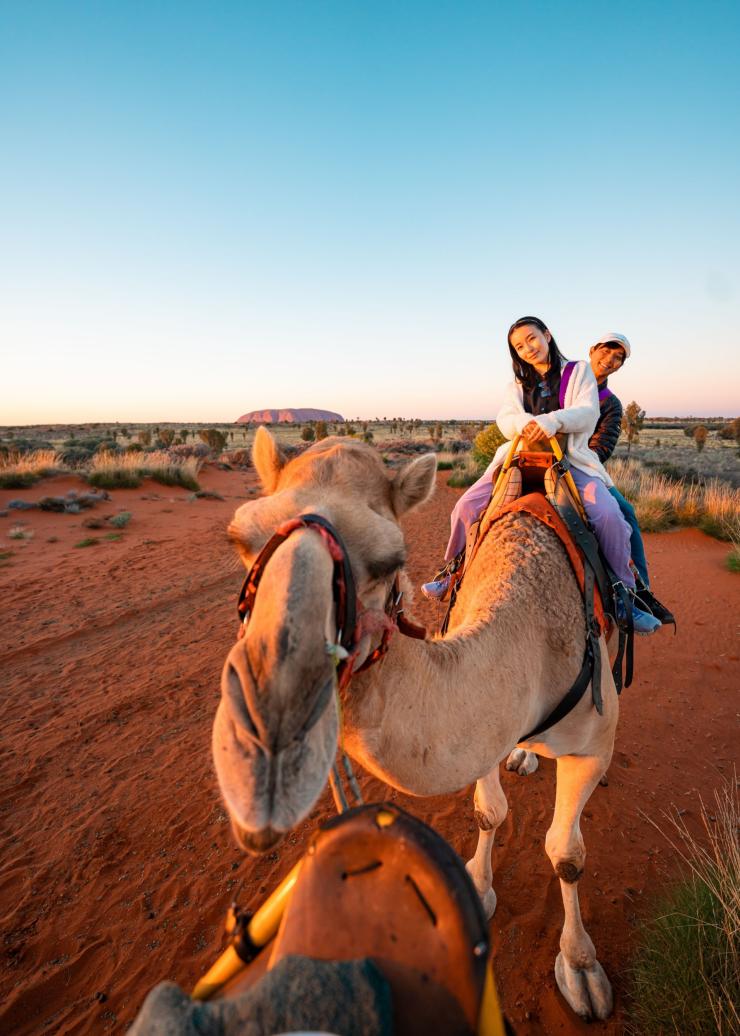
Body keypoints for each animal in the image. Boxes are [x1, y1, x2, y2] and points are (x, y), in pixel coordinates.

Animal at [213, 428, 618, 1021]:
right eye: (242, 540)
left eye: (390, 560)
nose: (267, 739)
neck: (534, 639)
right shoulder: (488, 722)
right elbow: (489, 811)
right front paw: (480, 886)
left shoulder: (592, 742)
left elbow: (567, 855)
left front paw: (581, 968)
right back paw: (523, 755)